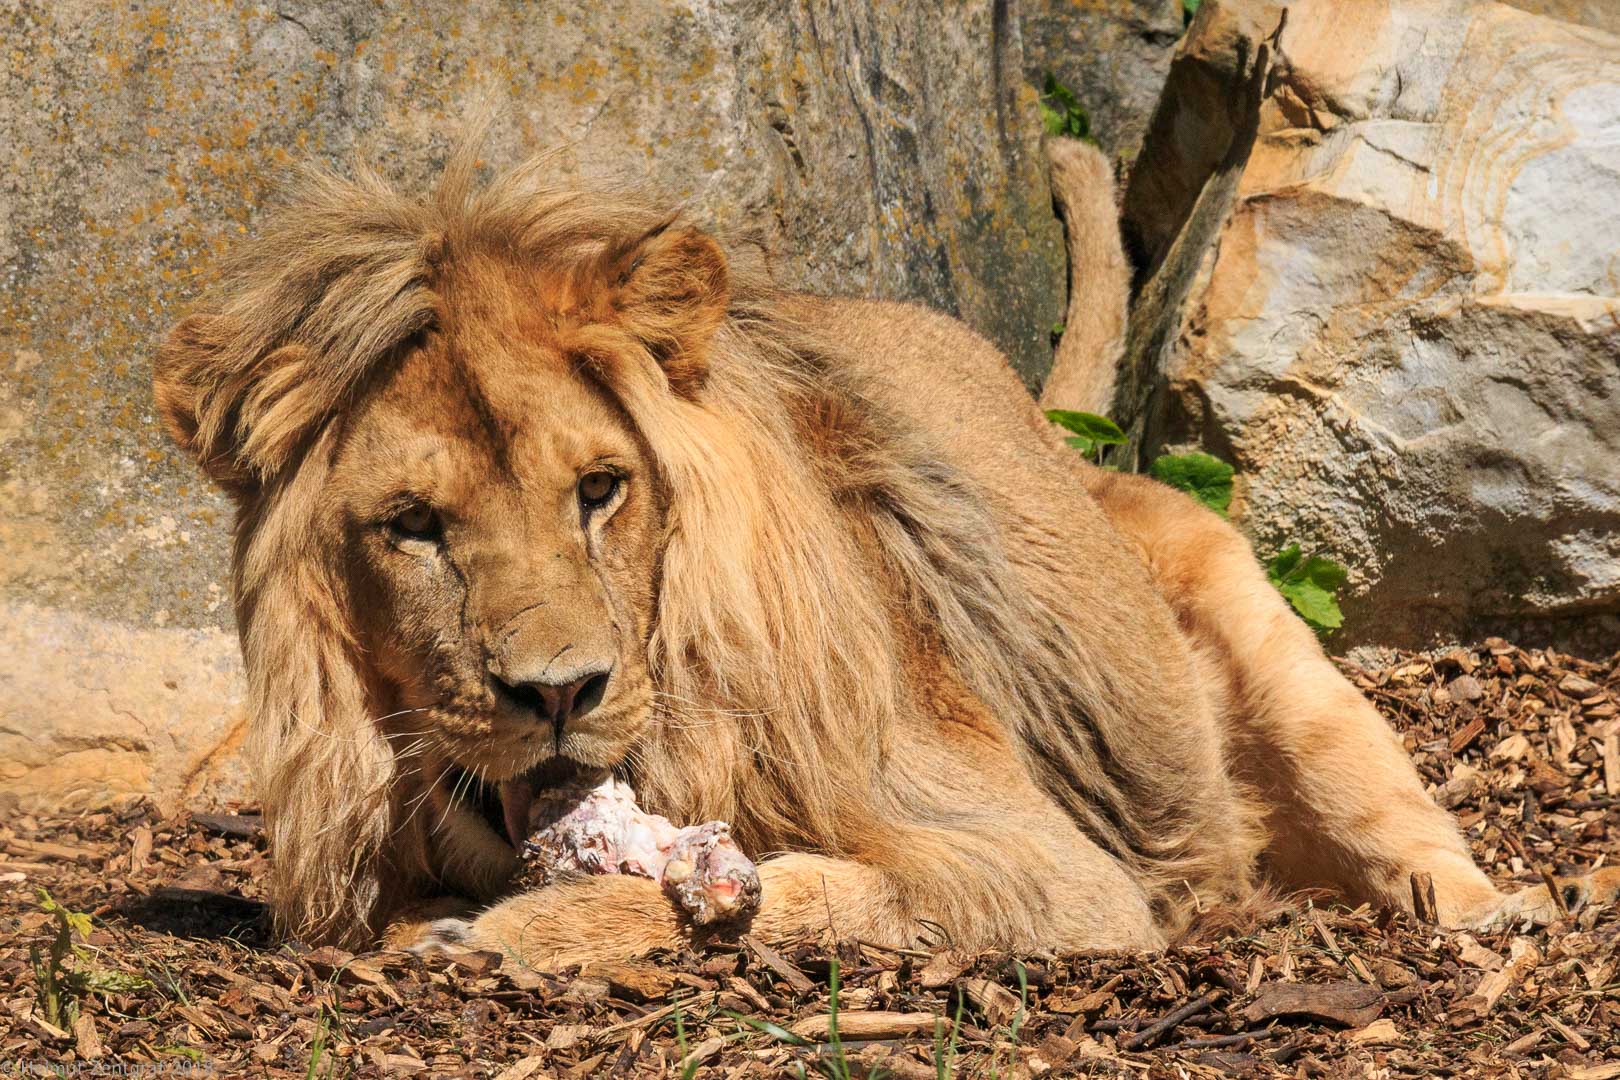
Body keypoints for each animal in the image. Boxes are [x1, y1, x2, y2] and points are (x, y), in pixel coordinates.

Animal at [154, 137, 1620, 971]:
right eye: (411, 527)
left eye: (599, 492)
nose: (557, 695)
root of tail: (1059, 444)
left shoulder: (1059, 875)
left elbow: (819, 891)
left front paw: (528, 934)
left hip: (1272, 646)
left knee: (1391, 811)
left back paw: (1487, 914)